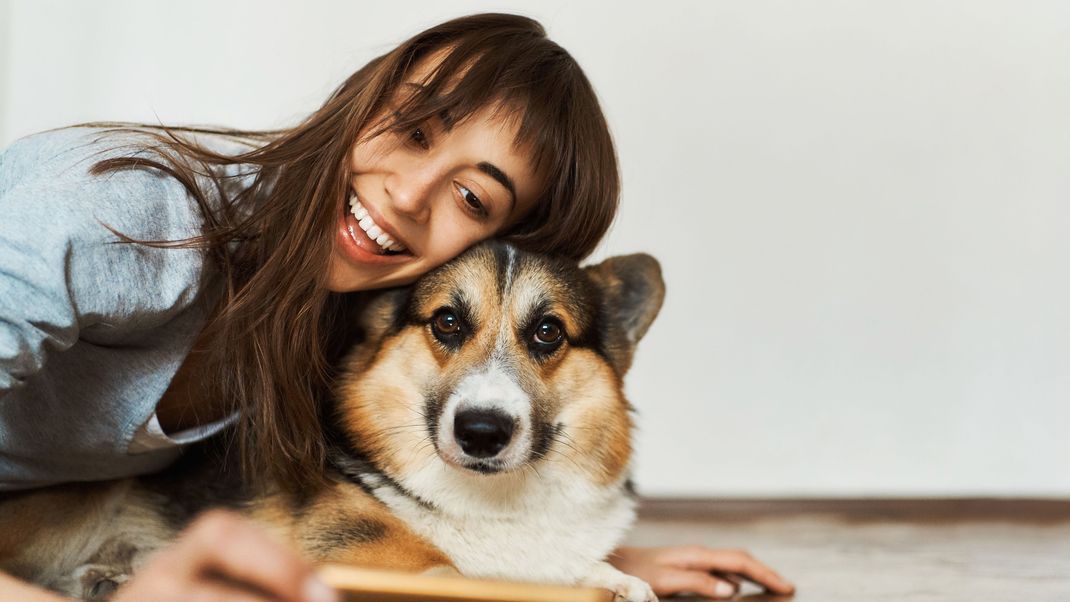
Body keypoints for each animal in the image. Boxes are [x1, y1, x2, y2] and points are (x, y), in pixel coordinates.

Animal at [0, 241, 663, 602]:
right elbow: (452, 569)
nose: (482, 432)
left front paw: (619, 580)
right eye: (447, 322)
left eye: (548, 331)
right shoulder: (360, 551)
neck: (493, 500)